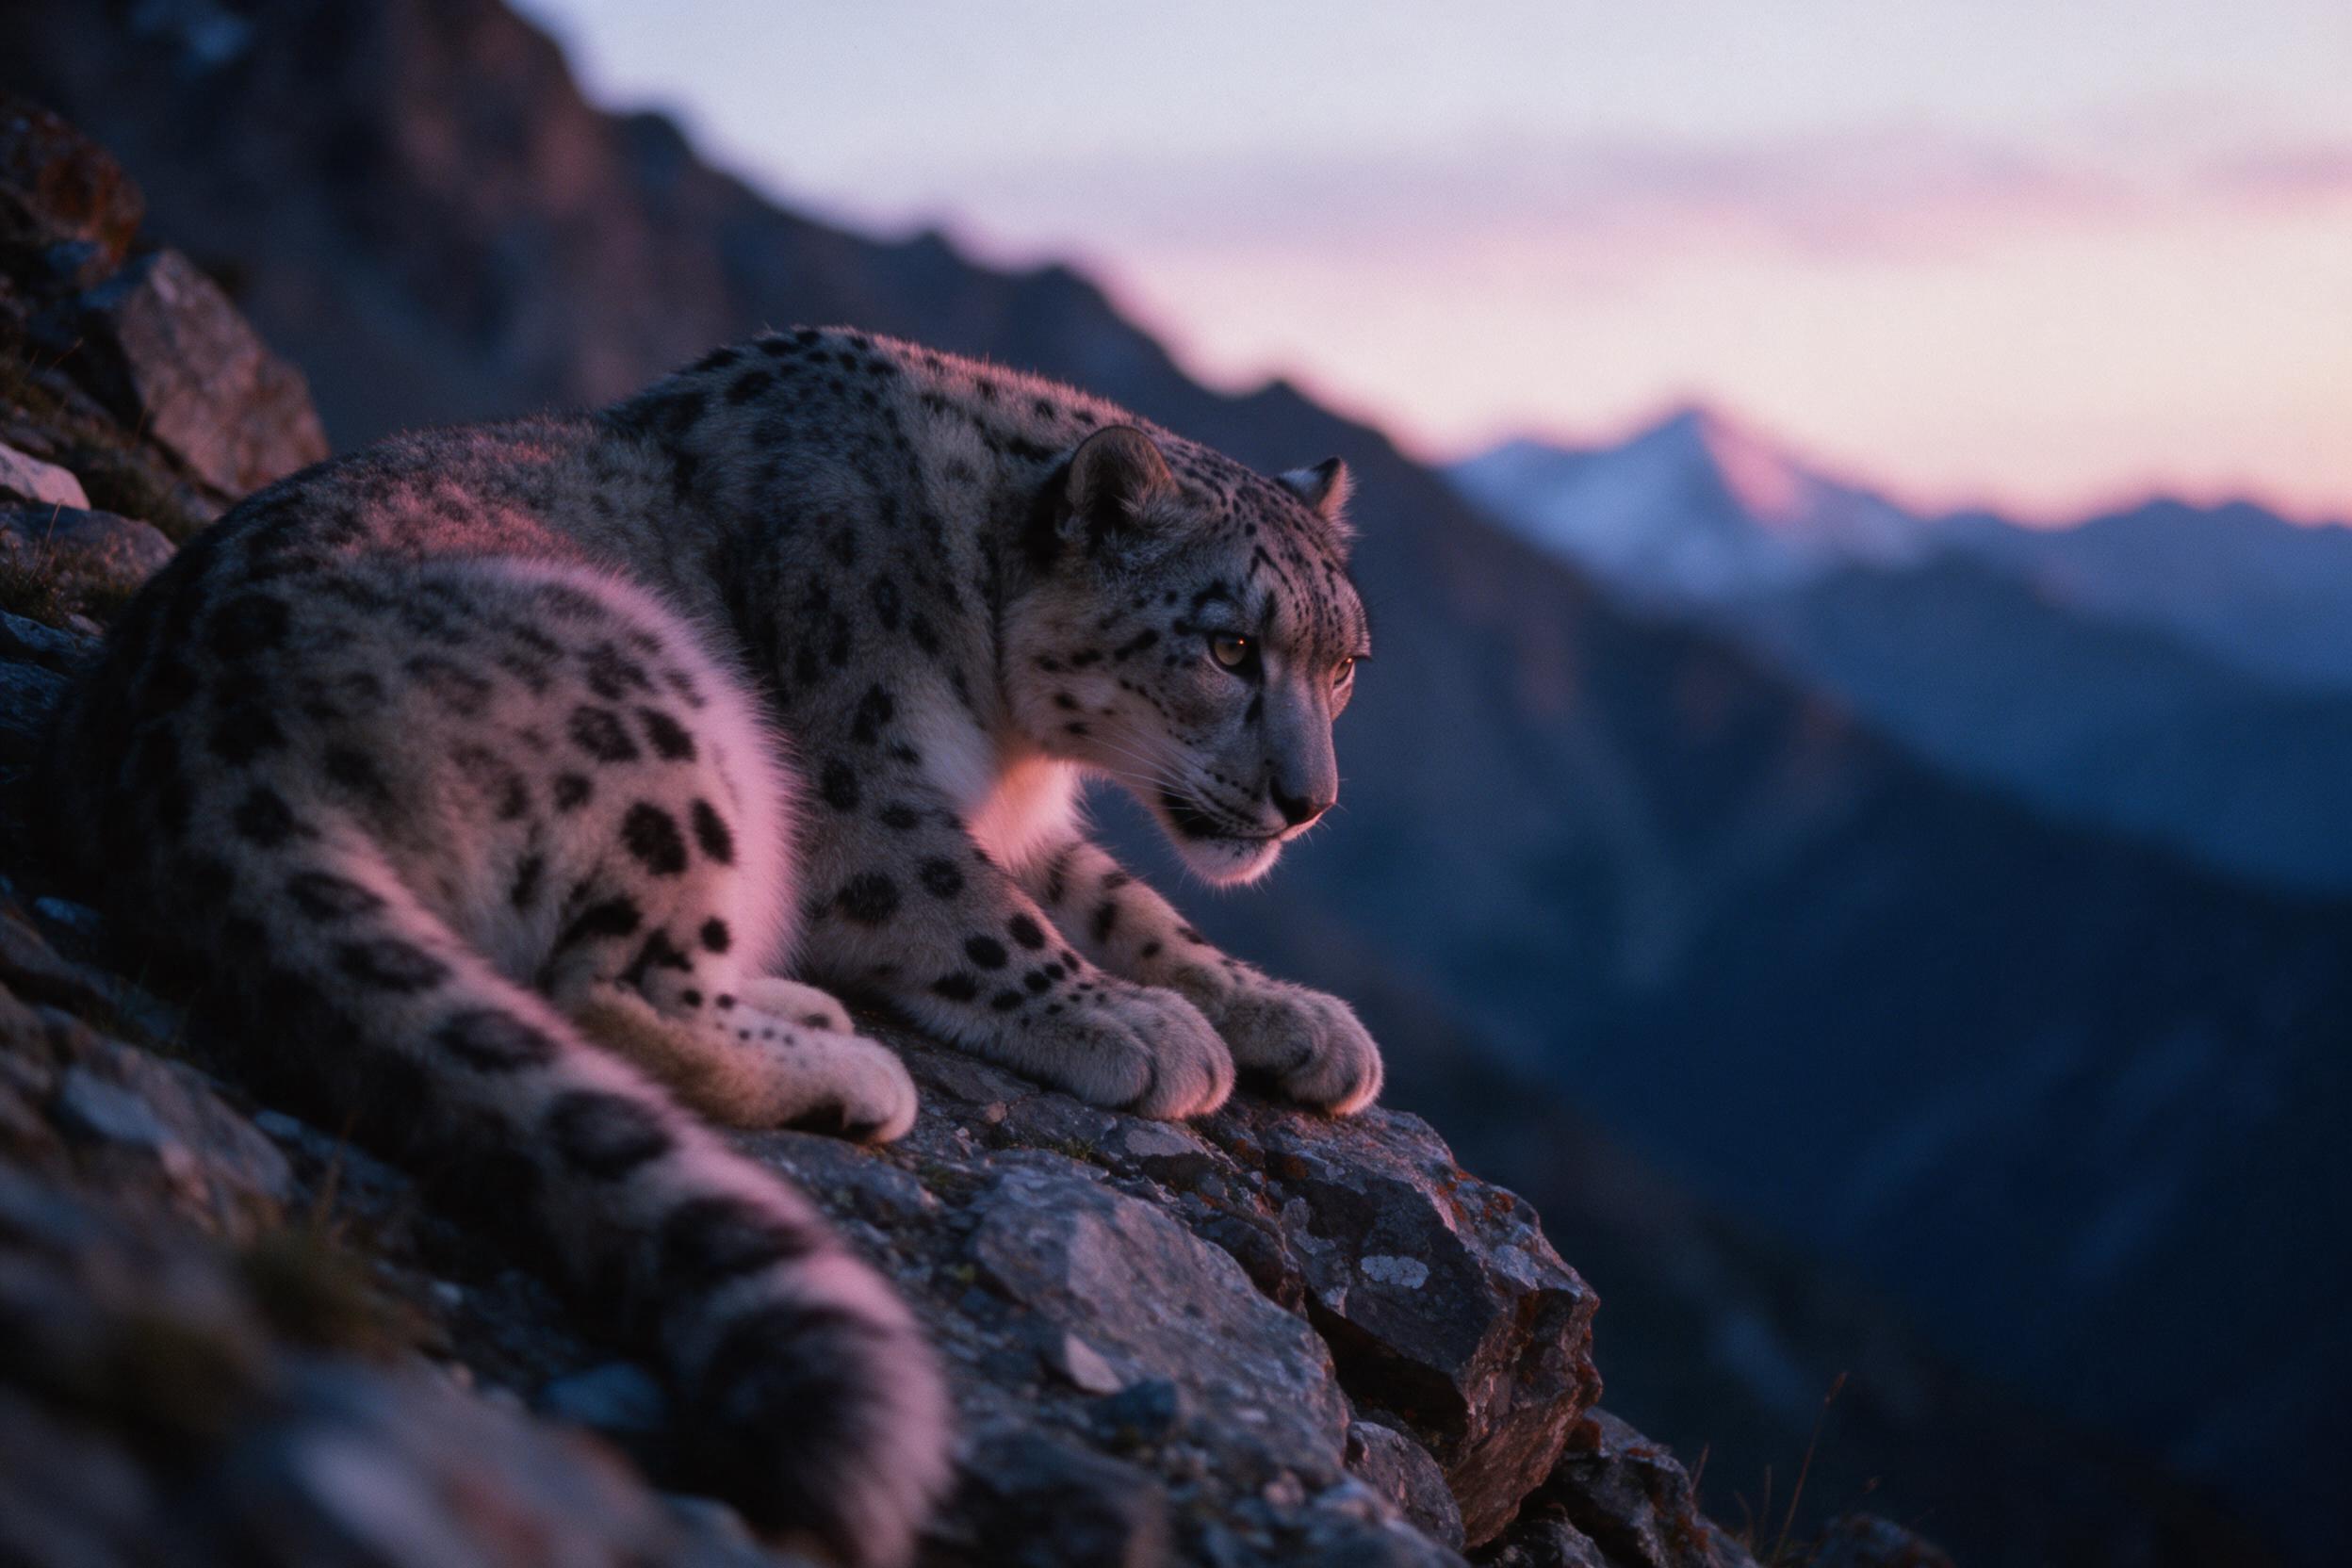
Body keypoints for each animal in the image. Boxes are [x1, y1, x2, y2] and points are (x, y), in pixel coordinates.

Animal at [39, 325, 1382, 1565]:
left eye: (1344, 663)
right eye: (1228, 644)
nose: (1309, 801)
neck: (1011, 738)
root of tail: (183, 742)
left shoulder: (1023, 822)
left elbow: (1127, 905)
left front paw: (1299, 1018)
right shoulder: (862, 793)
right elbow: (989, 913)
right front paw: (1136, 1026)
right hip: (664, 713)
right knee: (597, 987)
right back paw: (850, 1064)